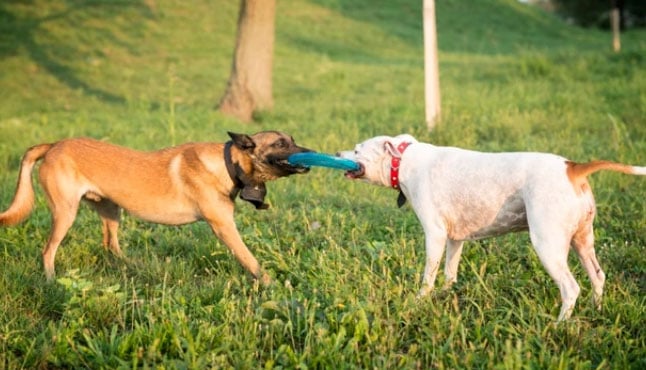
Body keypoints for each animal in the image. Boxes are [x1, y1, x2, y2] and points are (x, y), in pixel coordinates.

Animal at [0, 132, 312, 284]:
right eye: (280, 143)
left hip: (111, 211)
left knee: (111, 245)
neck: (227, 163)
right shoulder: (224, 227)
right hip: (65, 213)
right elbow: (250, 259)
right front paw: (272, 284)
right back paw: (51, 282)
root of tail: (53, 145)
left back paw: (136, 266)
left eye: (293, 139)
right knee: (48, 251)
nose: (311, 152)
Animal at [342, 135, 644, 320]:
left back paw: (559, 325)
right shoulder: (454, 239)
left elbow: (428, 276)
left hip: (547, 244)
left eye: (357, 149)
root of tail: (573, 168)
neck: (403, 160)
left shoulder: (435, 235)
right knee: (598, 276)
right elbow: (450, 273)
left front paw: (419, 300)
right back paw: (597, 309)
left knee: (571, 288)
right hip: (582, 241)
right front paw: (446, 294)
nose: (337, 152)